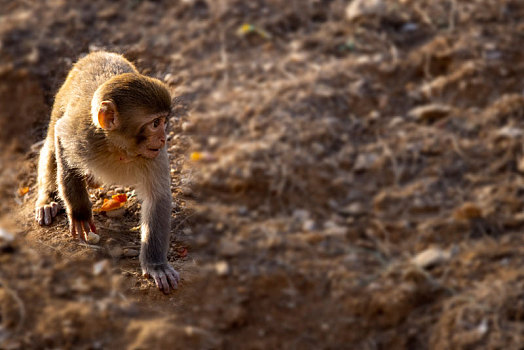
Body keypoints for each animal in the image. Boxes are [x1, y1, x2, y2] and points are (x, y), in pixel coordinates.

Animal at [34, 51, 179, 292]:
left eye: (164, 122)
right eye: (155, 123)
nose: (163, 138)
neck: (119, 147)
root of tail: (97, 53)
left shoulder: (155, 155)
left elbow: (157, 199)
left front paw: (156, 264)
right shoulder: (82, 136)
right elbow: (61, 137)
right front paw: (80, 212)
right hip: (60, 100)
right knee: (52, 144)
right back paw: (48, 199)